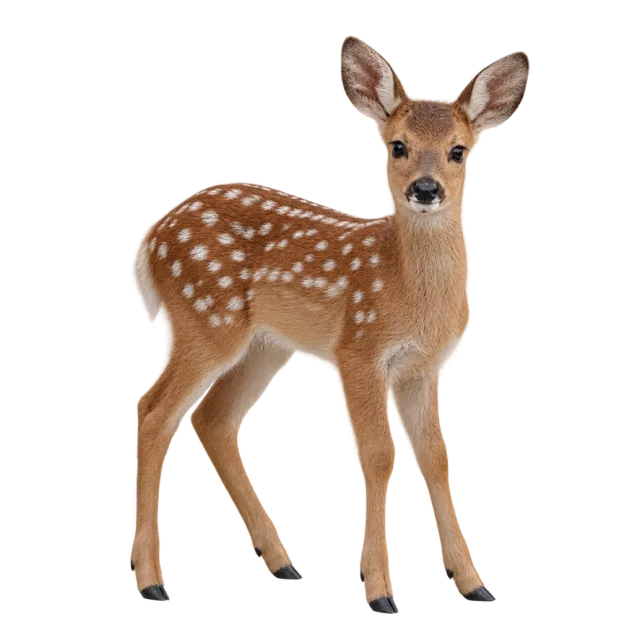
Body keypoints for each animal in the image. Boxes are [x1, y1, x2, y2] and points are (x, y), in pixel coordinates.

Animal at [129, 35, 530, 614]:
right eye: (397, 146)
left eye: (459, 150)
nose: (426, 189)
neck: (407, 289)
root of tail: (152, 236)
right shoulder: (358, 348)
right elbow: (380, 454)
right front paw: (379, 590)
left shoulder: (423, 367)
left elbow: (435, 458)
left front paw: (475, 585)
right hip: (205, 318)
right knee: (156, 411)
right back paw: (152, 582)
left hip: (265, 344)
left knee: (212, 417)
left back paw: (282, 563)